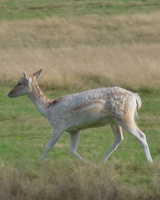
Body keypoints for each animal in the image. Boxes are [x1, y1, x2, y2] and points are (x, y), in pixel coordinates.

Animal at [7, 69, 152, 163]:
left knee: (141, 135)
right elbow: (72, 150)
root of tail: (135, 98)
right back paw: (101, 161)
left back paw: (149, 162)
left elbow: (48, 146)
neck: (48, 109)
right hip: (114, 120)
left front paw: (39, 162)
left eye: (19, 82)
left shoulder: (58, 125)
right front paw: (86, 163)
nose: (9, 93)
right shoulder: (74, 130)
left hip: (124, 116)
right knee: (118, 138)